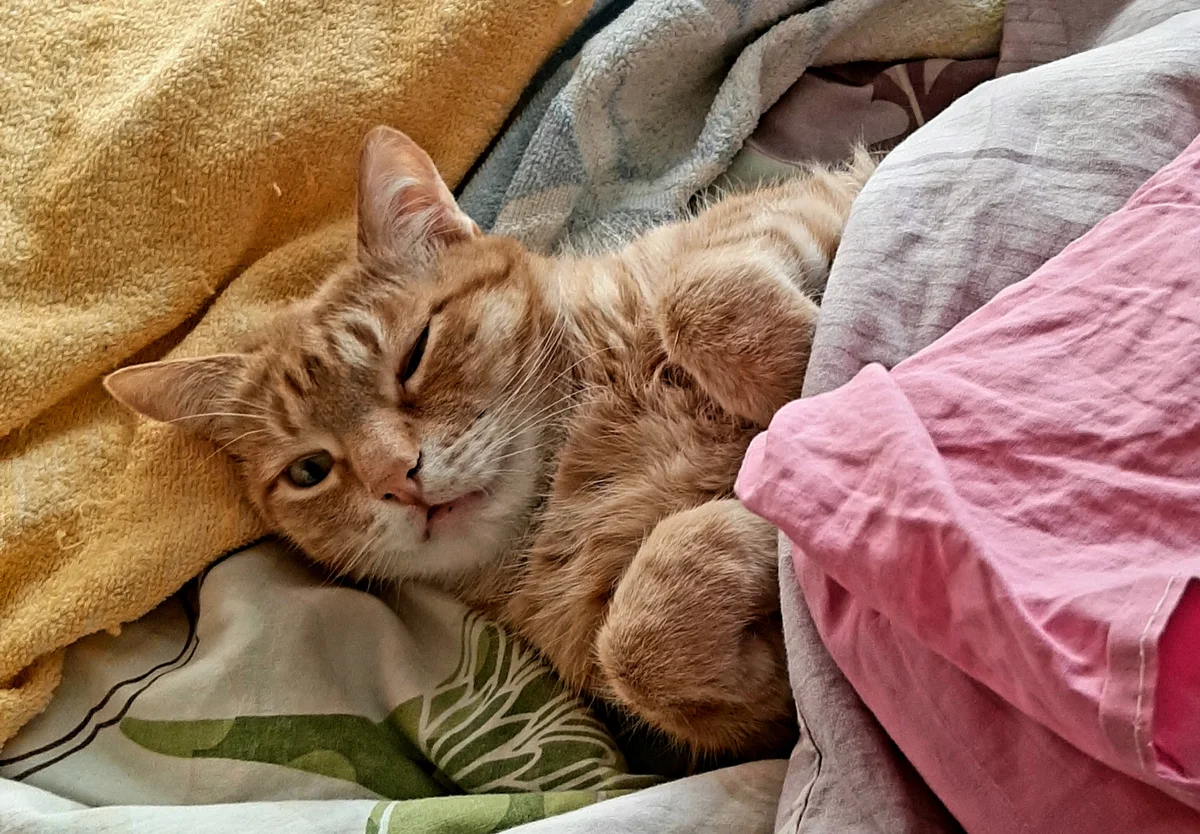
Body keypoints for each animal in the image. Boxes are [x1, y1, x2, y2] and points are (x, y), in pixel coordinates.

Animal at [105, 126, 874, 760]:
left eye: (415, 353)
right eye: (311, 470)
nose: (397, 477)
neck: (573, 464)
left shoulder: (794, 207)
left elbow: (699, 297)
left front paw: (813, 385)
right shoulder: (747, 720)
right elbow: (641, 648)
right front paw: (759, 519)